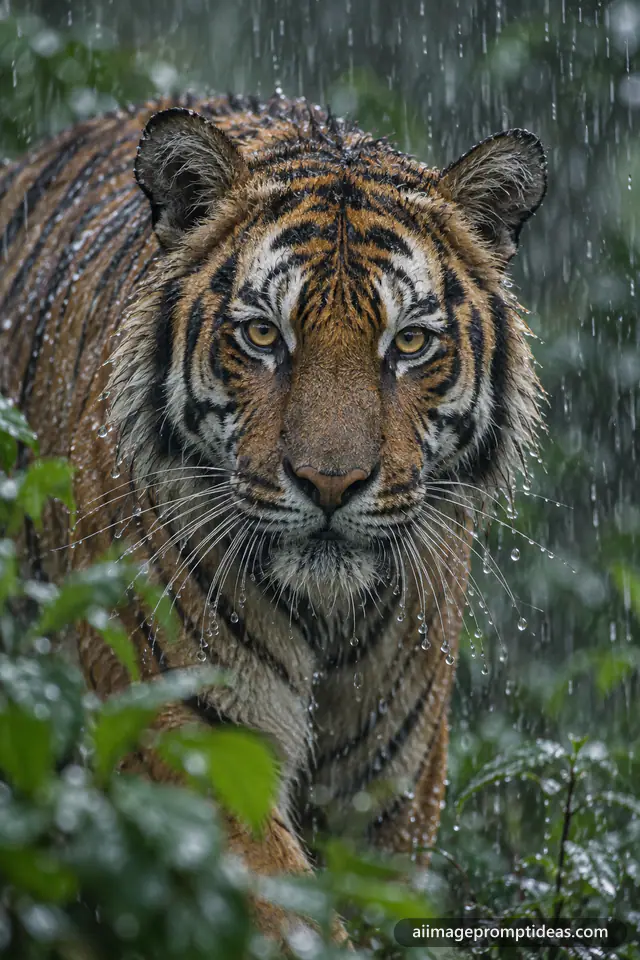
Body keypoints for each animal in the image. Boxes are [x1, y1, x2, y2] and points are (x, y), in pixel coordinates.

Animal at [0, 91, 546, 942]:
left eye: (409, 343)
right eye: (263, 335)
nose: (331, 483)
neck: (331, 613)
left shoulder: (389, 801)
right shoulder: (191, 739)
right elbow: (293, 920)